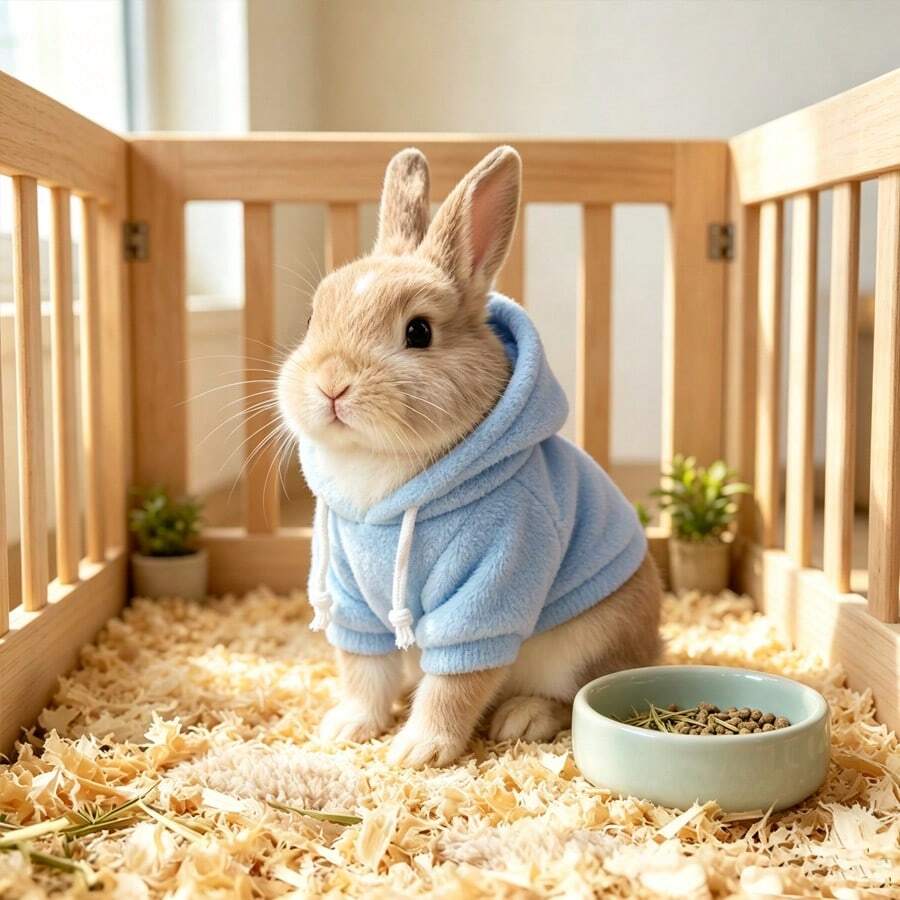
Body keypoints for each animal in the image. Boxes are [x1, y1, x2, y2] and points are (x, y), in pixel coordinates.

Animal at [277, 145, 662, 767]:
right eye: (313, 319)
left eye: (418, 331)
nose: (331, 384)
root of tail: (654, 645)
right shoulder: (355, 602)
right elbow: (363, 670)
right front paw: (347, 727)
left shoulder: (487, 595)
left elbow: (456, 684)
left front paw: (417, 752)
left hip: (586, 642)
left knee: (571, 695)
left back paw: (522, 717)